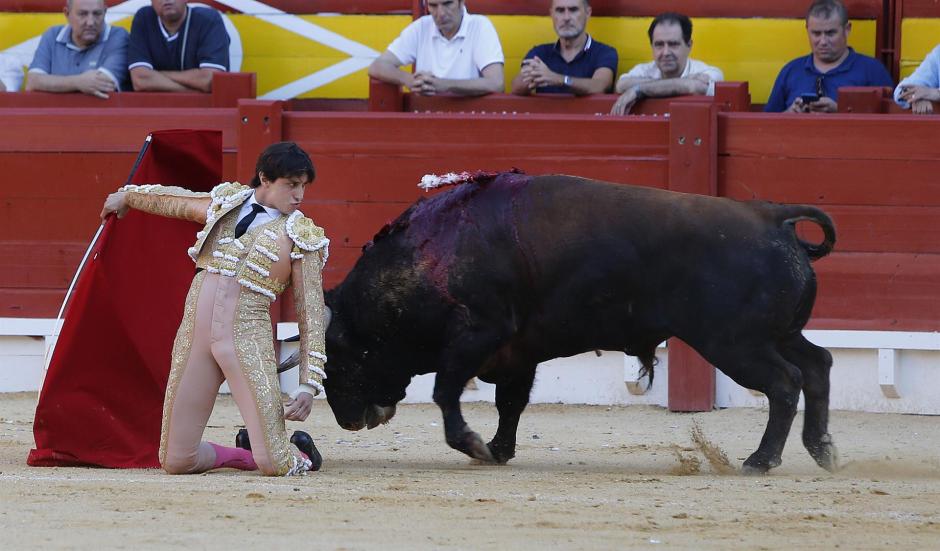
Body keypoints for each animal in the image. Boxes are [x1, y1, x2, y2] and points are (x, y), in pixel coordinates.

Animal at [324, 172, 836, 474]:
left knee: (785, 382)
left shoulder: (476, 336)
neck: (429, 256)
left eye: (338, 352)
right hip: (778, 335)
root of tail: (772, 217)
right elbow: (510, 404)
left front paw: (473, 445)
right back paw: (822, 449)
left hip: (735, 343)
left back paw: (761, 460)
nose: (346, 419)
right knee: (818, 366)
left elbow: (446, 392)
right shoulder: (517, 352)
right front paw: (499, 450)